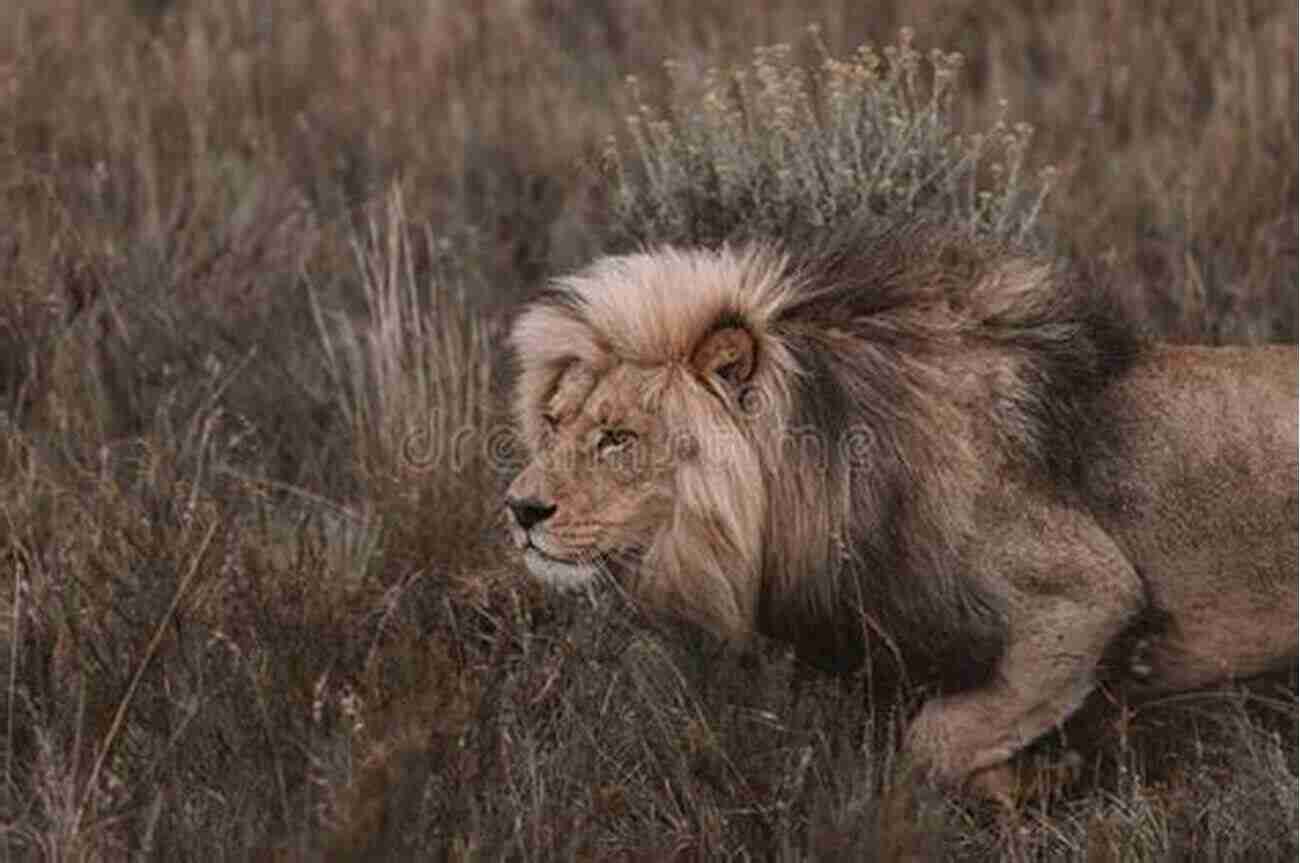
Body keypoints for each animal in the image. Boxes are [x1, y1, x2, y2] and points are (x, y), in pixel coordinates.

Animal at [499, 220, 1300, 795]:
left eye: (617, 439)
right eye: (556, 422)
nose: (520, 509)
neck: (820, 471)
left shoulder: (1087, 597)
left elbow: (932, 742)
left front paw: (1036, 781)